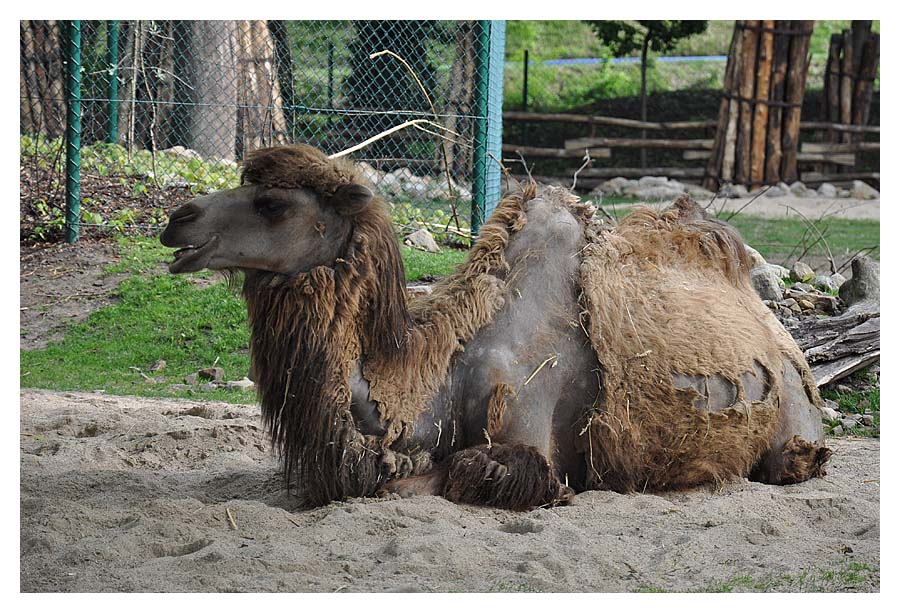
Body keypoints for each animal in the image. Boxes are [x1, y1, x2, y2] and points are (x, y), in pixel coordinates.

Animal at [161, 144, 831, 510]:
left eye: (272, 204)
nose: (176, 219)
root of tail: (784, 338)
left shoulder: (525, 441)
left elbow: (454, 475)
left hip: (794, 420)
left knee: (790, 461)